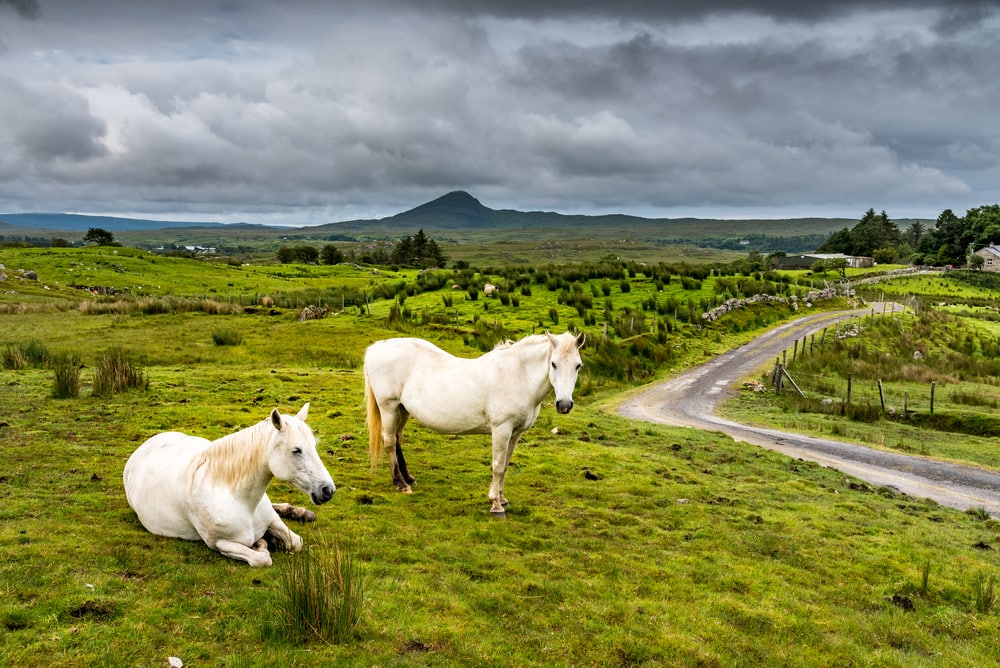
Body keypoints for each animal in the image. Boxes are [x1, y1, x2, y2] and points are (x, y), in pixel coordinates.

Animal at [124, 404, 336, 568]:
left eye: (314, 446)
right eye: (296, 450)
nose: (328, 490)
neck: (241, 501)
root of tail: (146, 444)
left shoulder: (271, 519)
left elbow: (295, 542)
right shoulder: (220, 543)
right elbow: (261, 559)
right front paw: (262, 544)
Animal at [366, 332, 584, 516]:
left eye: (578, 365)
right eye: (553, 364)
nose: (564, 404)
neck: (518, 375)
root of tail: (376, 348)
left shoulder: (515, 433)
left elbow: (505, 465)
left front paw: (502, 498)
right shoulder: (501, 429)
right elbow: (497, 466)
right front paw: (496, 505)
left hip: (402, 409)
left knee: (396, 439)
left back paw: (408, 478)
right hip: (389, 406)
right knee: (389, 441)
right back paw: (401, 484)